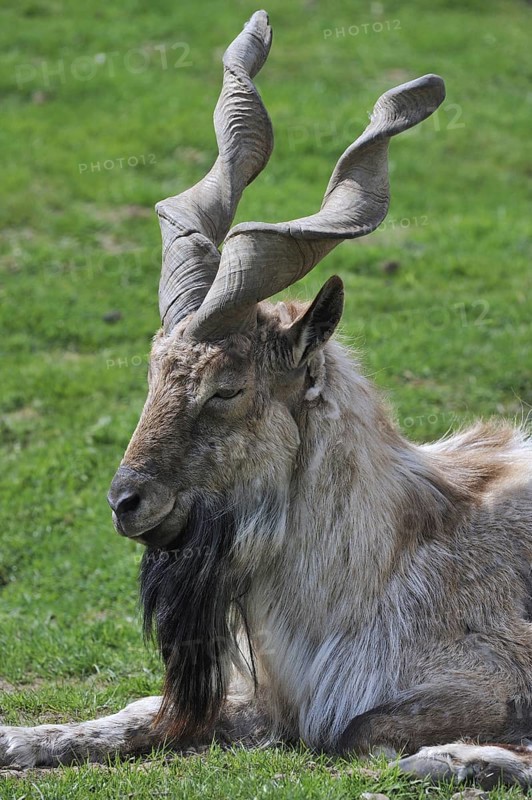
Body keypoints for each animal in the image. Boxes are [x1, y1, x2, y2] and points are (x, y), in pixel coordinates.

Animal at [2, 11, 531, 789]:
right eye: (153, 371)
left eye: (227, 387)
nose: (127, 501)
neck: (374, 569)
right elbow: (140, 713)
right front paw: (21, 738)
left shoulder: (488, 672)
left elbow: (363, 731)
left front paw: (462, 756)